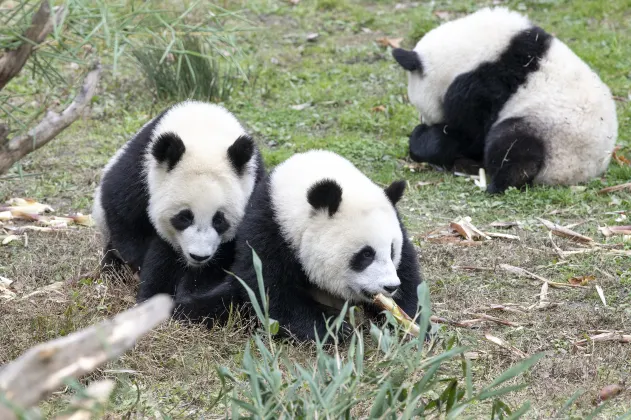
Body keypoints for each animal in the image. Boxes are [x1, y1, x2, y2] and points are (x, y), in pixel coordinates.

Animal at [173, 150, 424, 342]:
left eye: (391, 251)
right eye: (366, 255)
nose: (390, 286)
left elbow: (409, 275)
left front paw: (409, 320)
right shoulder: (269, 230)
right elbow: (272, 293)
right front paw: (335, 328)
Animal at [392, 6, 620, 194]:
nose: (424, 121)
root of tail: (577, 174)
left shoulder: (481, 86)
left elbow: (470, 134)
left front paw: (424, 140)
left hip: (552, 132)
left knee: (513, 146)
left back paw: (500, 183)